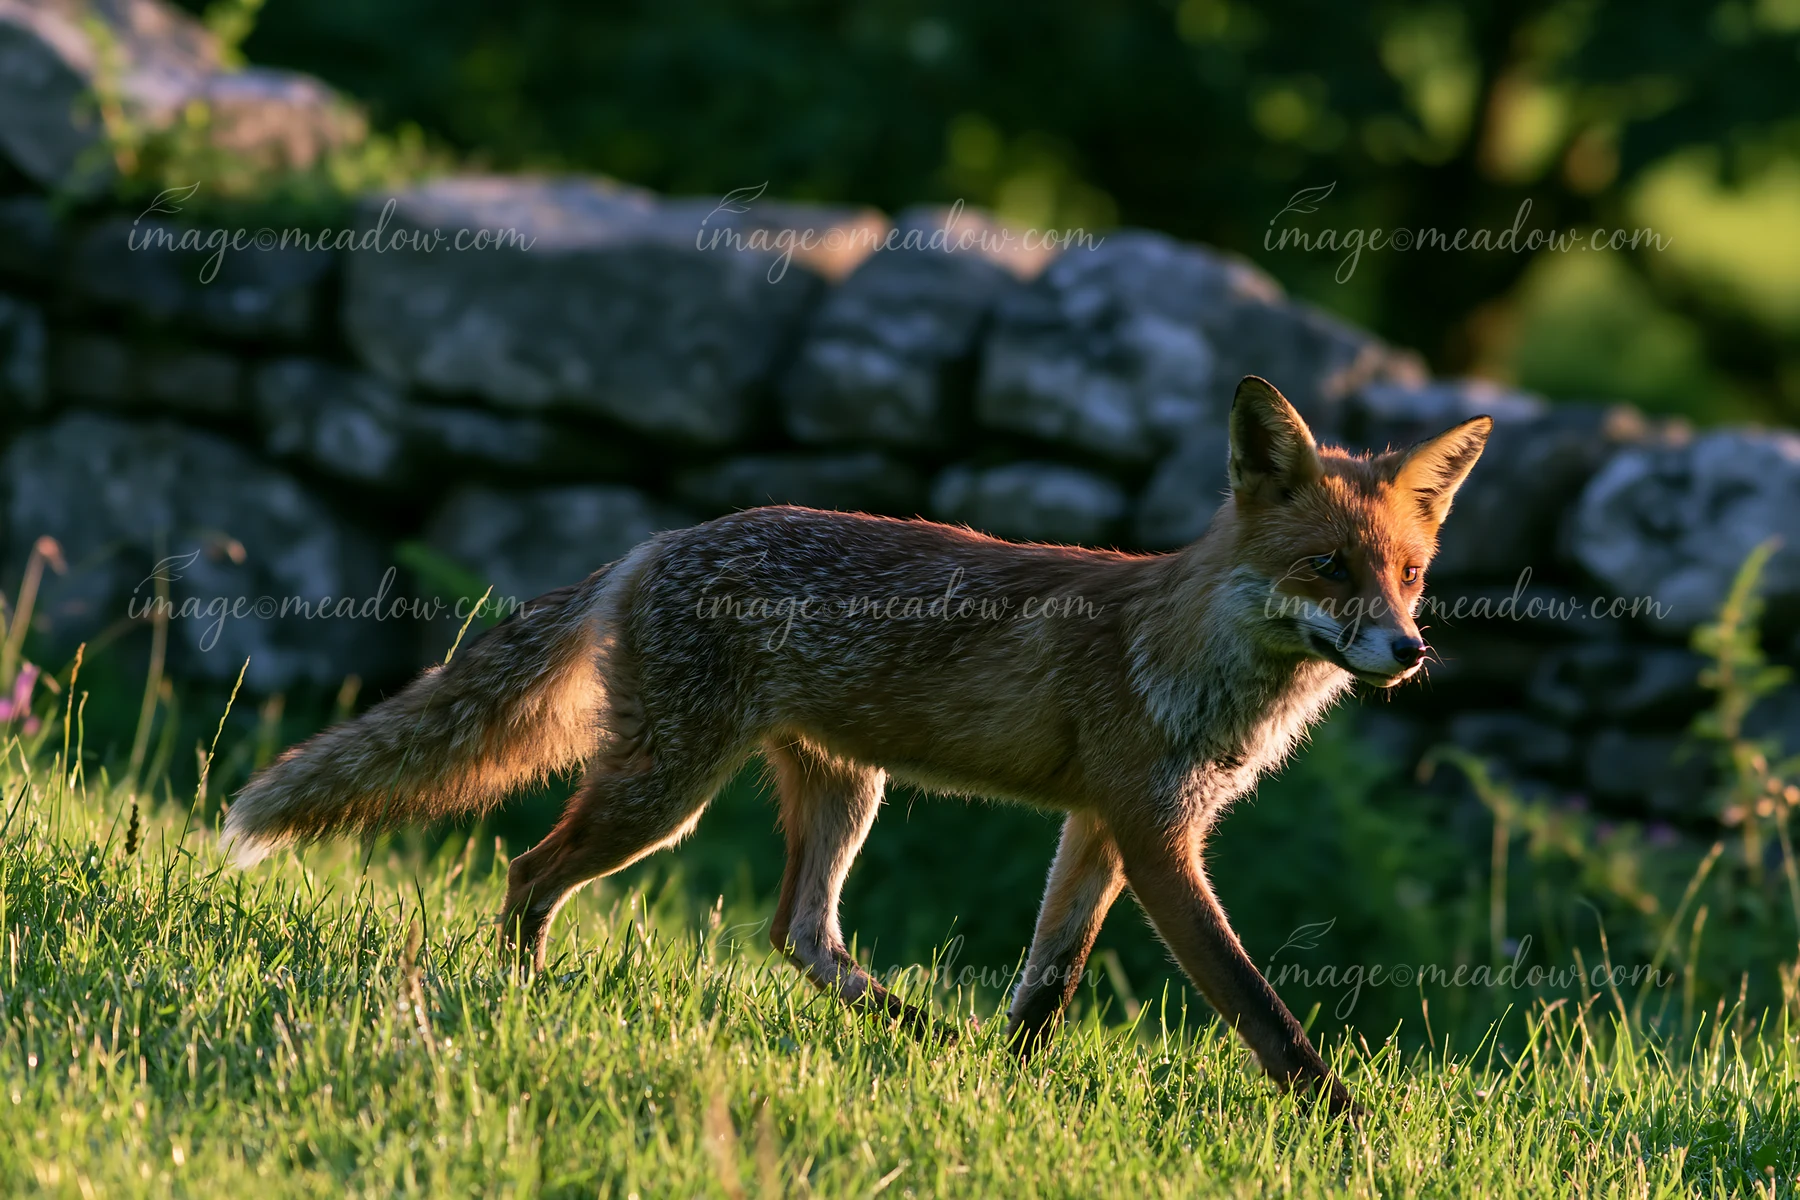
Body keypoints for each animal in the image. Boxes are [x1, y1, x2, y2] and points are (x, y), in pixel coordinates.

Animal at [221, 375, 1489, 1116]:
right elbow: (1257, 1003)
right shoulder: (1156, 835)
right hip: (664, 792)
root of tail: (661, 539)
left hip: (843, 791)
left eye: (1409, 573)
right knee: (532, 869)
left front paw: (1006, 1086)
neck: (1200, 657)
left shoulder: (1098, 827)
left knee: (801, 933)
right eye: (1327, 567)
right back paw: (518, 1001)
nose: (1409, 650)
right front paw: (1346, 1125)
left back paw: (933, 1040)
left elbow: (1049, 982)